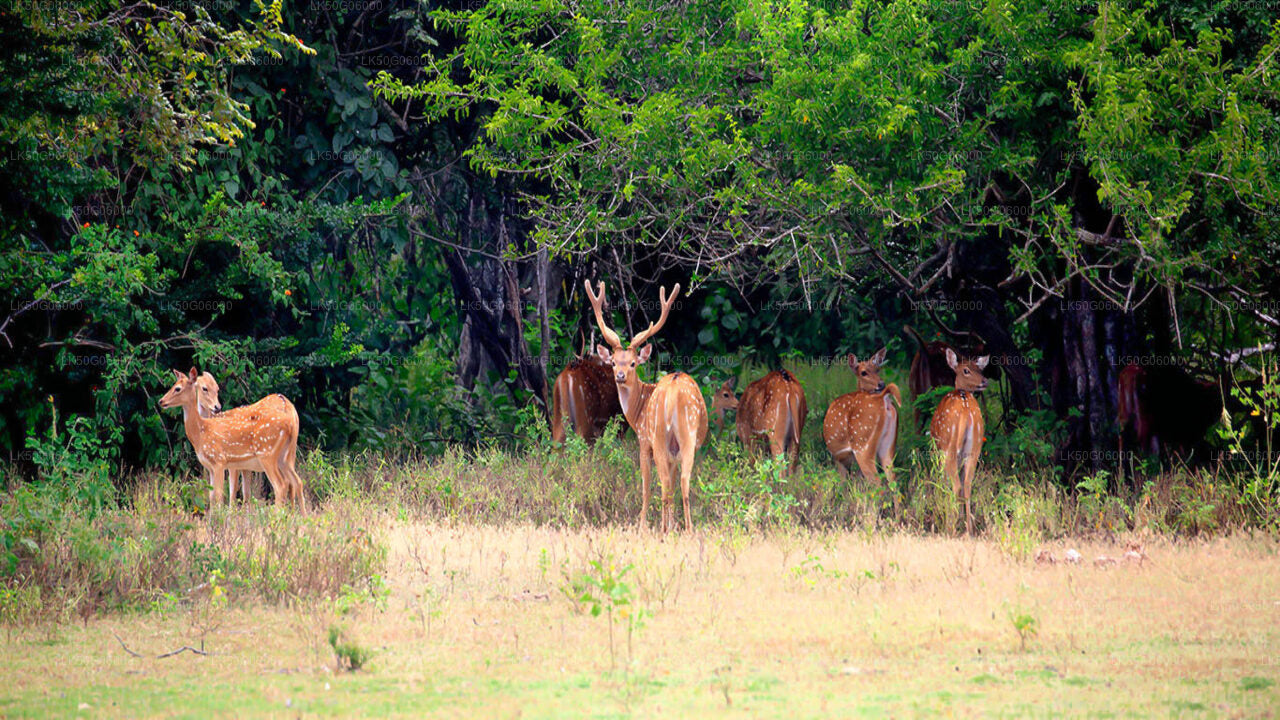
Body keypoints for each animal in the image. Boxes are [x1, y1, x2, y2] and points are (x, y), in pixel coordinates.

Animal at [159, 366, 304, 507]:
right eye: (205, 388)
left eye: (177, 388)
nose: (161, 401)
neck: (201, 431)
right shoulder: (215, 467)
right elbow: (217, 495)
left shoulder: (221, 461)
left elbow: (225, 495)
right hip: (286, 456)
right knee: (297, 482)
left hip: (267, 454)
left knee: (281, 485)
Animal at [583, 278, 706, 530]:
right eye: (613, 362)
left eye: (632, 363)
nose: (620, 376)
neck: (637, 411)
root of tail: (674, 394)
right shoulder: (673, 453)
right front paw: (672, 524)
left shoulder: (642, 440)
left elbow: (647, 487)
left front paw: (642, 525)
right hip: (688, 437)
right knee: (683, 481)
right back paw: (687, 530)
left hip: (659, 436)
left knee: (665, 483)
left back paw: (663, 530)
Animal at [819, 348, 901, 504]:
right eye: (864, 372)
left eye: (877, 369)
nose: (881, 384)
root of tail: (883, 398)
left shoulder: (839, 456)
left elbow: (843, 486)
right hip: (888, 445)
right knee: (894, 482)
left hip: (862, 444)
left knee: (878, 486)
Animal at [931, 348, 988, 532]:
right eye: (967, 370)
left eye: (979, 369)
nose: (985, 380)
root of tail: (966, 410)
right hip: (974, 448)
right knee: (967, 485)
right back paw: (969, 530)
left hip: (950, 448)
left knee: (956, 485)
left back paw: (950, 527)